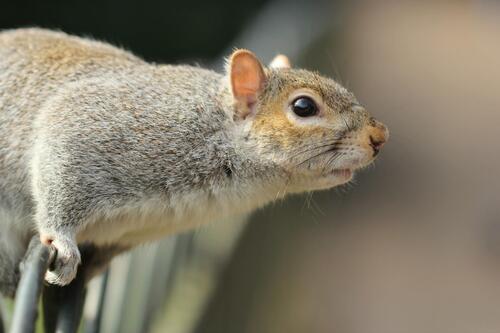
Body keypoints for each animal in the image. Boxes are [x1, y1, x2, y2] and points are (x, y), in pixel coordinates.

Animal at [0, 27, 390, 294]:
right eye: (304, 106)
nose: (380, 136)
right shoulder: (94, 126)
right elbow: (60, 166)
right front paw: (62, 242)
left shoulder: (133, 232)